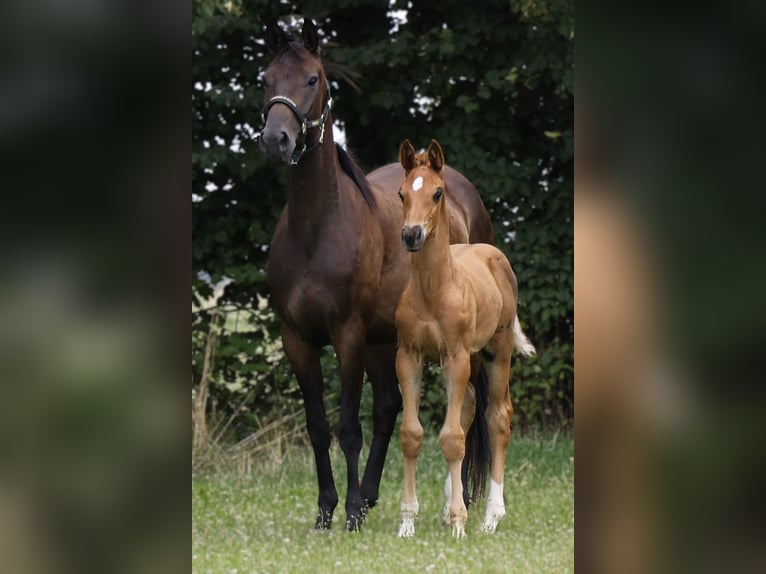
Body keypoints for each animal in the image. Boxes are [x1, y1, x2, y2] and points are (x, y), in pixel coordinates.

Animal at [260, 16, 496, 532]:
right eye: (266, 79)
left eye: (312, 79)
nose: (276, 140)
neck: (316, 228)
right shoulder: (297, 338)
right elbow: (318, 426)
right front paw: (327, 510)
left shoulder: (346, 334)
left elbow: (349, 425)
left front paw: (348, 512)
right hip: (384, 339)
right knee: (390, 407)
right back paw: (371, 495)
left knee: (466, 407)